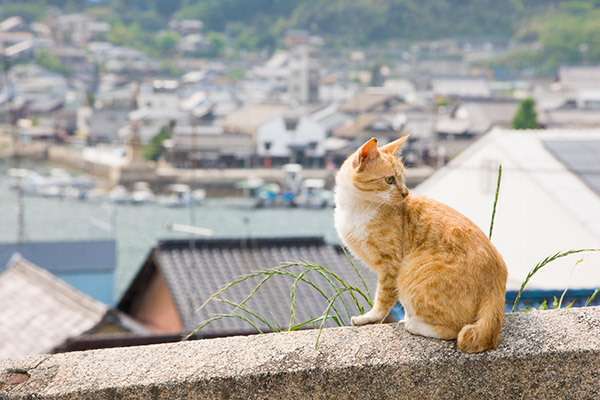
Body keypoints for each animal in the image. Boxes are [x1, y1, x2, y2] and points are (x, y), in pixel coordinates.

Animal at [336, 135, 508, 354]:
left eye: (403, 178)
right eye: (390, 180)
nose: (406, 193)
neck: (357, 208)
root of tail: (497, 276)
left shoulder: (391, 266)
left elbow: (383, 299)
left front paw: (370, 318)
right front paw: (405, 317)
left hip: (412, 272)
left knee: (454, 328)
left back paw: (416, 325)